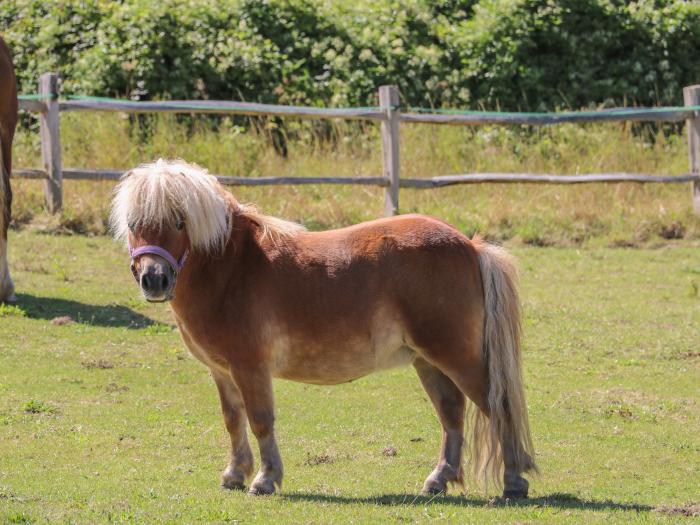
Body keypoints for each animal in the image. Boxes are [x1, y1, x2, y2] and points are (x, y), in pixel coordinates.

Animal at [110, 159, 536, 496]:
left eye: (179, 222)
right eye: (133, 223)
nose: (154, 279)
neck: (230, 268)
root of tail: (470, 245)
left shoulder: (250, 368)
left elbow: (260, 419)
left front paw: (265, 480)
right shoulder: (222, 372)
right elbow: (233, 420)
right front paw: (234, 474)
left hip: (456, 358)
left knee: (497, 406)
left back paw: (514, 482)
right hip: (428, 361)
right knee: (452, 414)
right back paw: (438, 480)